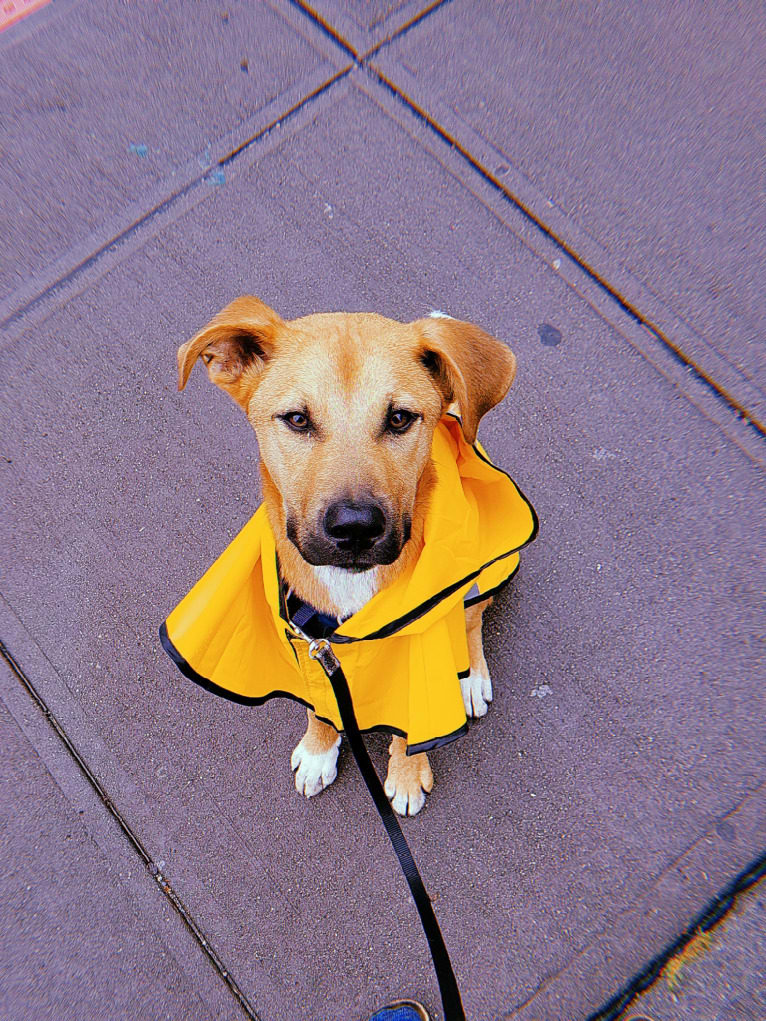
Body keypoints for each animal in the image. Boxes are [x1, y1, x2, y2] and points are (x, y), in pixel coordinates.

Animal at [166, 294, 535, 812]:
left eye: (399, 418)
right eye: (297, 419)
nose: (355, 528)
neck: (349, 585)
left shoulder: (418, 648)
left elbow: (410, 727)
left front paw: (406, 775)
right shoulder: (309, 642)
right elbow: (320, 705)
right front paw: (320, 750)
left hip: (482, 573)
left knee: (472, 617)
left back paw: (471, 678)